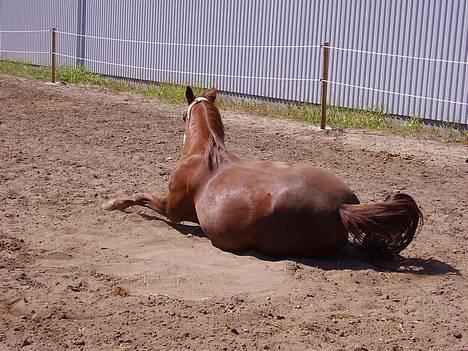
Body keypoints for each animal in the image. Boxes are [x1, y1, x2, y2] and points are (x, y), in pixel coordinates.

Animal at [104, 87, 422, 258]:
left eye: (184, 115)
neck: (204, 157)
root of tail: (344, 207)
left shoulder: (171, 209)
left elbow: (141, 196)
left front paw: (112, 203)